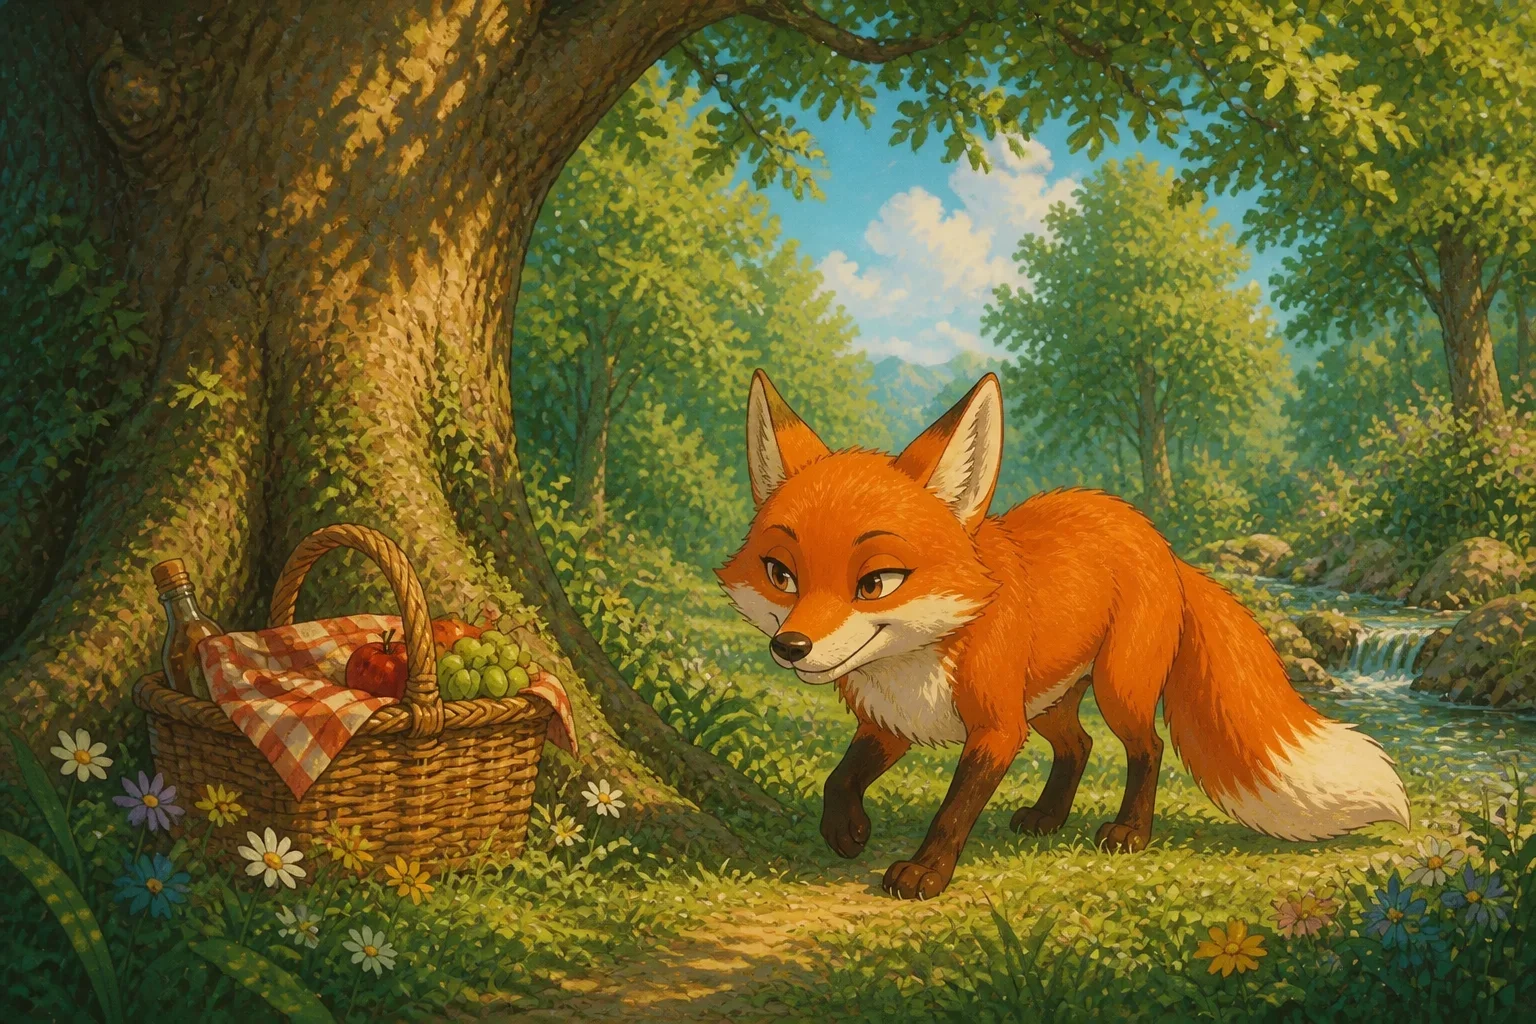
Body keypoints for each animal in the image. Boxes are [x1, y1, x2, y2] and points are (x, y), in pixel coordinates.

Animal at [716, 369, 1410, 900]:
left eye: (877, 583)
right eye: (781, 575)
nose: (790, 648)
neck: (919, 656)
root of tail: (1160, 543)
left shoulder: (996, 730)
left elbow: (952, 810)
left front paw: (925, 872)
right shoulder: (892, 723)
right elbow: (840, 777)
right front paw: (845, 832)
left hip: (1116, 688)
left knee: (1147, 748)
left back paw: (1130, 833)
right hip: (1050, 700)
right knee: (1079, 746)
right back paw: (1049, 817)